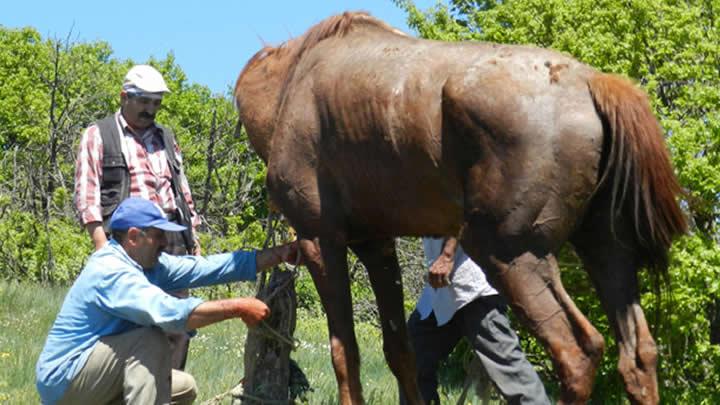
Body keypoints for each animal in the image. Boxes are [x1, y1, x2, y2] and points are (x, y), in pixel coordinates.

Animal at [235, 11, 688, 402]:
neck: (280, 90)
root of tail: (594, 83)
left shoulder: (320, 238)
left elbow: (344, 353)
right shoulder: (376, 243)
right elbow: (400, 352)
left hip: (509, 252)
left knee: (579, 351)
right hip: (605, 250)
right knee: (639, 355)